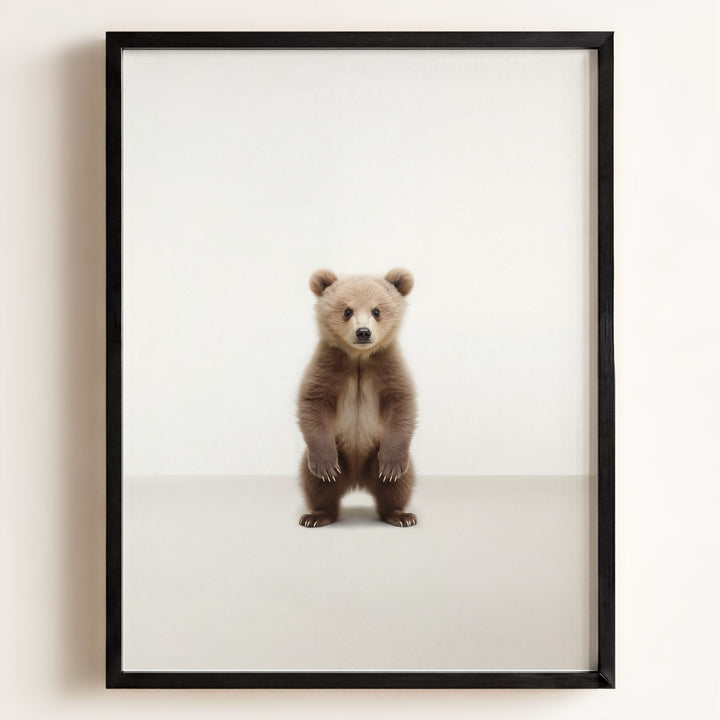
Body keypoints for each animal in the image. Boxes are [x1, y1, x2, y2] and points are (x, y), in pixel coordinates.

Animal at [297, 268, 418, 528]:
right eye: (347, 310)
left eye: (377, 311)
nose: (363, 332)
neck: (359, 358)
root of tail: (357, 481)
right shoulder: (328, 365)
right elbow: (313, 403)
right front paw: (325, 466)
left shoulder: (387, 365)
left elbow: (402, 404)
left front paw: (392, 466)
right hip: (338, 453)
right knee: (316, 484)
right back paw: (316, 515)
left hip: (376, 454)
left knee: (398, 484)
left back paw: (400, 514)